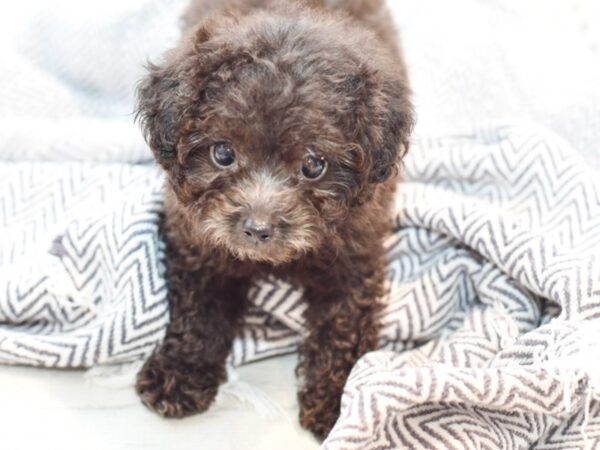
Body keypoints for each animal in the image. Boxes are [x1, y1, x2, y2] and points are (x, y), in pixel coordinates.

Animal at [135, 0, 412, 440]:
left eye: (313, 165)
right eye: (223, 153)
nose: (257, 228)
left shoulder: (356, 258)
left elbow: (343, 327)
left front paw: (338, 403)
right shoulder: (196, 243)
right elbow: (198, 312)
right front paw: (179, 373)